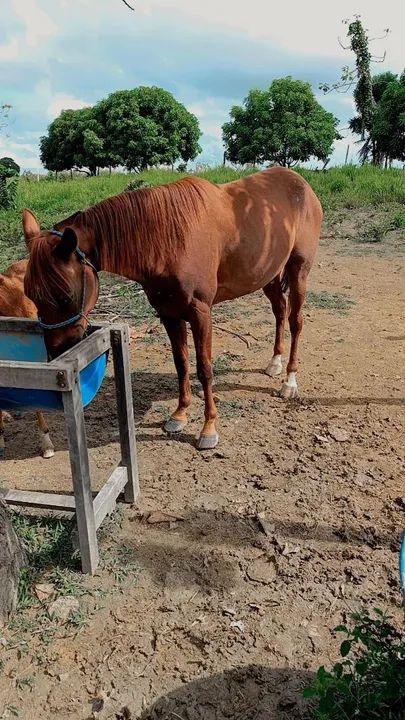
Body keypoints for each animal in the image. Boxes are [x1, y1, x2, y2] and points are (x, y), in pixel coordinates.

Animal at [23, 167, 323, 450]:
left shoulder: (201, 314)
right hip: (269, 275)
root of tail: (302, 184)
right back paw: (275, 363)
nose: (57, 351)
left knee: (295, 321)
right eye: (29, 294)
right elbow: (182, 363)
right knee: (280, 311)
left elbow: (204, 368)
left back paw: (289, 382)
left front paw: (208, 428)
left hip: (298, 270)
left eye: (65, 296)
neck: (169, 239)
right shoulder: (168, 314)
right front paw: (179, 415)